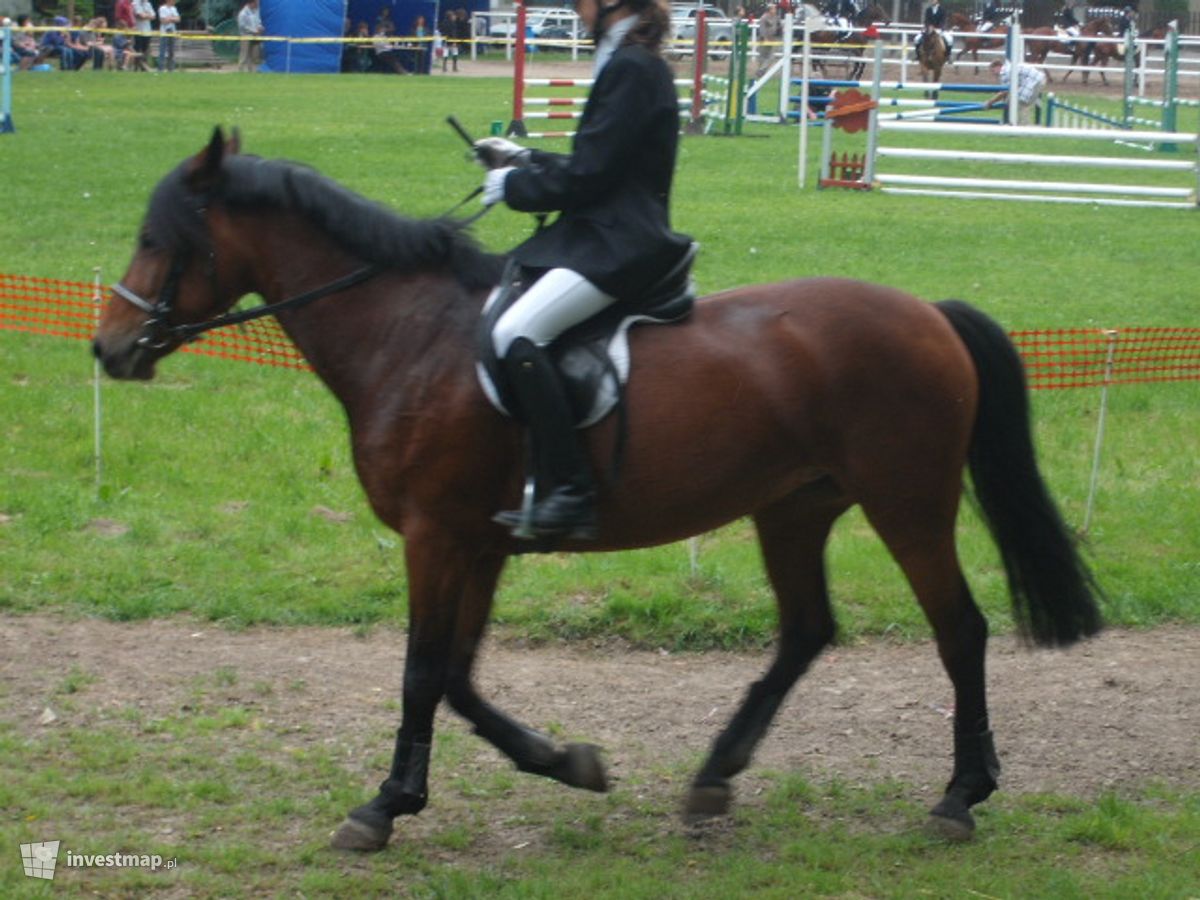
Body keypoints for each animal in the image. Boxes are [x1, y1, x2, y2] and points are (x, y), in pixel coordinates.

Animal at [91, 128, 1104, 854]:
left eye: (156, 240)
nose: (109, 349)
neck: (409, 337)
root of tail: (929, 312)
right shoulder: (479, 541)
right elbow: (457, 676)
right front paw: (566, 762)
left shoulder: (434, 536)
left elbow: (422, 672)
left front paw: (382, 807)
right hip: (794, 506)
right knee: (807, 632)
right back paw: (714, 777)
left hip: (908, 503)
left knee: (959, 631)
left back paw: (960, 796)